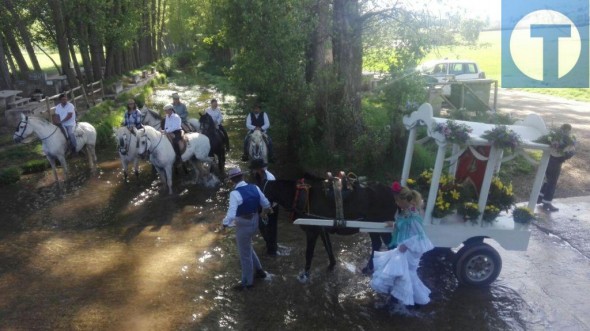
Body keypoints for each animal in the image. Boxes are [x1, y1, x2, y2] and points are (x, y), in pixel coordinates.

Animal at [262, 176, 398, 282]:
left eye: (261, 190)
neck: (301, 197)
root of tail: (391, 192)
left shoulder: (312, 231)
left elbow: (309, 253)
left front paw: (304, 275)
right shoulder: (322, 229)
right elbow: (328, 248)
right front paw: (332, 265)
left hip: (382, 227)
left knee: (391, 247)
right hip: (372, 228)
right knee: (377, 244)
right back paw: (368, 268)